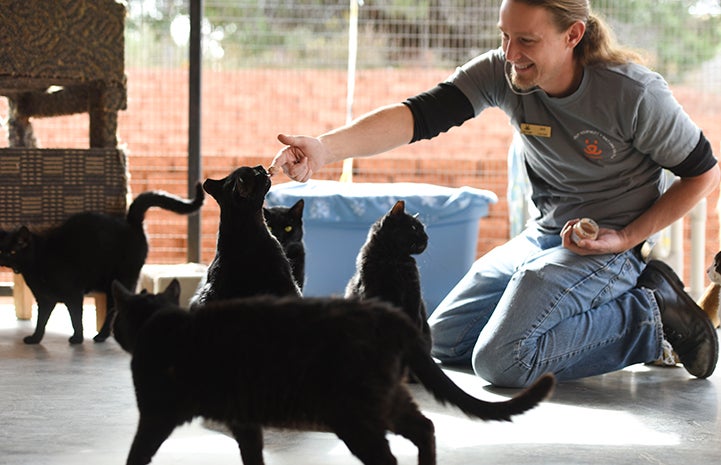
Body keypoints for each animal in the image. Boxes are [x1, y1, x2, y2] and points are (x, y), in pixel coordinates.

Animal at [0, 183, 204, 342]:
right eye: (1, 250)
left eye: (12, 251)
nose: (2, 258)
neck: (37, 262)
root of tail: (131, 222)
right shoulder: (44, 299)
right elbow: (41, 321)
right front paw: (35, 339)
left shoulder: (74, 294)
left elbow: (76, 318)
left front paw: (77, 339)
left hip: (122, 278)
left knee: (114, 309)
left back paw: (103, 336)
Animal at [112, 280, 556, 464]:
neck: (159, 322)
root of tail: (387, 314)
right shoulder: (245, 421)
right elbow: (252, 456)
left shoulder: (155, 415)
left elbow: (137, 454)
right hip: (386, 401)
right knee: (425, 428)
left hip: (353, 416)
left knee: (389, 456)